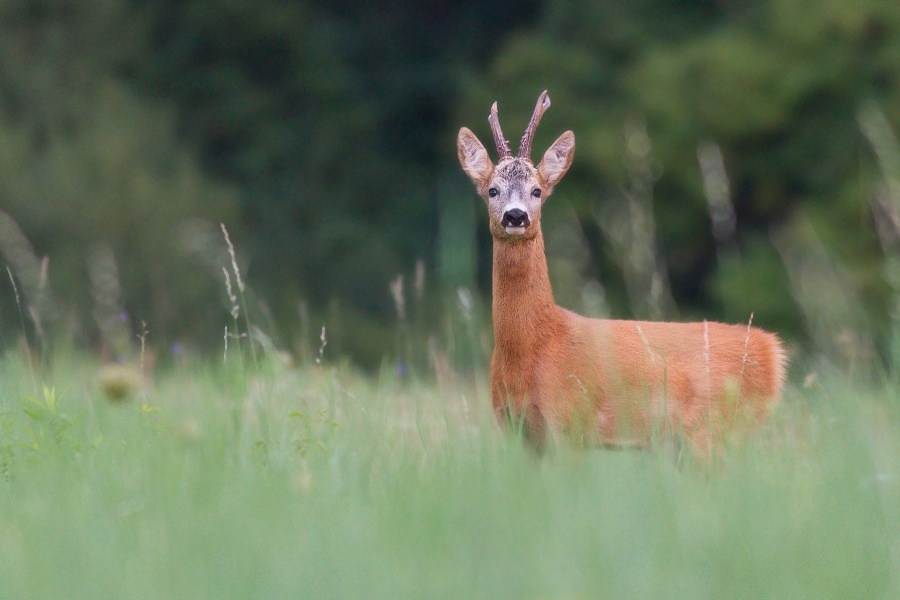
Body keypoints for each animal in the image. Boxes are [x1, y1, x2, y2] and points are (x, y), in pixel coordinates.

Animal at [458, 90, 788, 454]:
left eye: (537, 190)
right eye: (492, 190)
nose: (515, 216)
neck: (535, 346)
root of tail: (772, 351)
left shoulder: (571, 421)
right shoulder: (518, 431)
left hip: (715, 433)